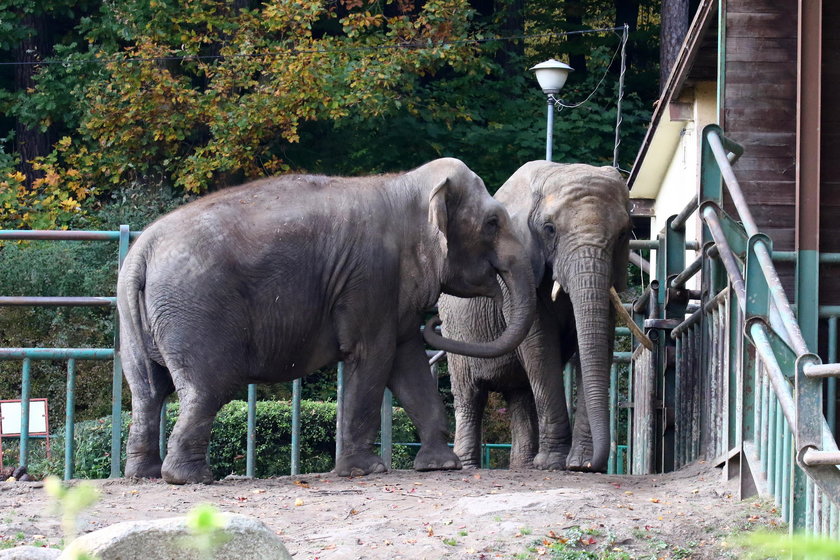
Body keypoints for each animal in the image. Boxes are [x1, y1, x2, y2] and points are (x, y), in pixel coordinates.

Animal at [116, 159, 540, 486]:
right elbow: (374, 356)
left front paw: (440, 466)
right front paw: (365, 471)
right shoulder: (371, 276)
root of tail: (142, 250)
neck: (406, 184)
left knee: (148, 391)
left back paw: (144, 474)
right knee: (205, 389)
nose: (435, 320)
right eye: (492, 223)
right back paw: (191, 478)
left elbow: (407, 362)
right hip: (196, 310)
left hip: (134, 318)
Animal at [436, 161, 628, 472]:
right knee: (470, 395)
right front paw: (553, 464)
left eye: (623, 234)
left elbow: (598, 341)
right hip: (454, 328)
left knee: (521, 394)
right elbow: (539, 345)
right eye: (549, 229)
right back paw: (468, 467)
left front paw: (578, 463)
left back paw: (522, 466)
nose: (591, 466)